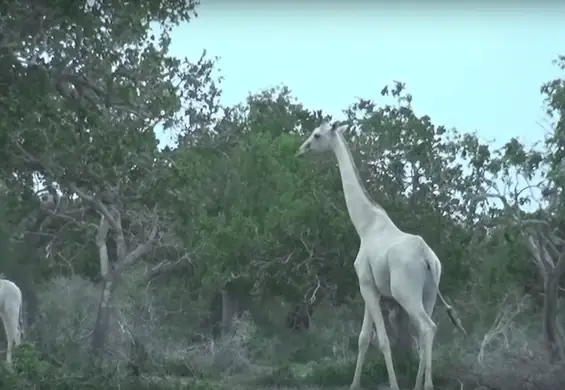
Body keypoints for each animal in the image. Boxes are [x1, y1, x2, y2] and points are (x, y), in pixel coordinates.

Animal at [296, 122, 462, 390]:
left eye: (317, 135)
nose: (302, 149)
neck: (365, 226)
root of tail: (427, 257)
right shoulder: (370, 289)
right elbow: (364, 338)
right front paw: (354, 385)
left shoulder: (367, 286)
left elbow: (382, 340)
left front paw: (392, 385)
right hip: (428, 294)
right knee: (424, 331)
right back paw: (418, 385)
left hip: (405, 292)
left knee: (427, 327)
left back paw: (427, 385)